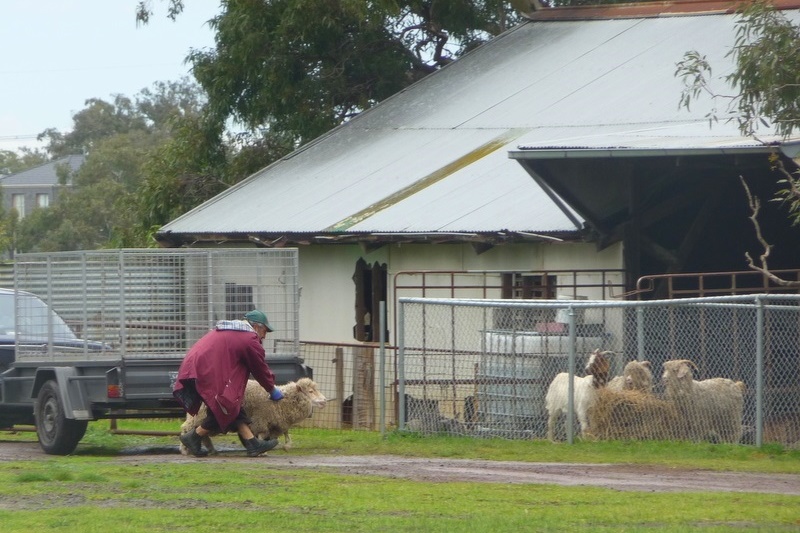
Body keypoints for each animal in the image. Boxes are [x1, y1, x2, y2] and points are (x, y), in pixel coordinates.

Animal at [181, 376, 328, 456]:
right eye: (310, 391)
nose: (325, 400)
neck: (282, 402)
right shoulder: (260, 420)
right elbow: (262, 435)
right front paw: (263, 450)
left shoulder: (276, 423)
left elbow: (281, 435)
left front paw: (285, 446)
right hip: (199, 415)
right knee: (186, 428)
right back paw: (185, 449)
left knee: (202, 433)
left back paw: (210, 450)